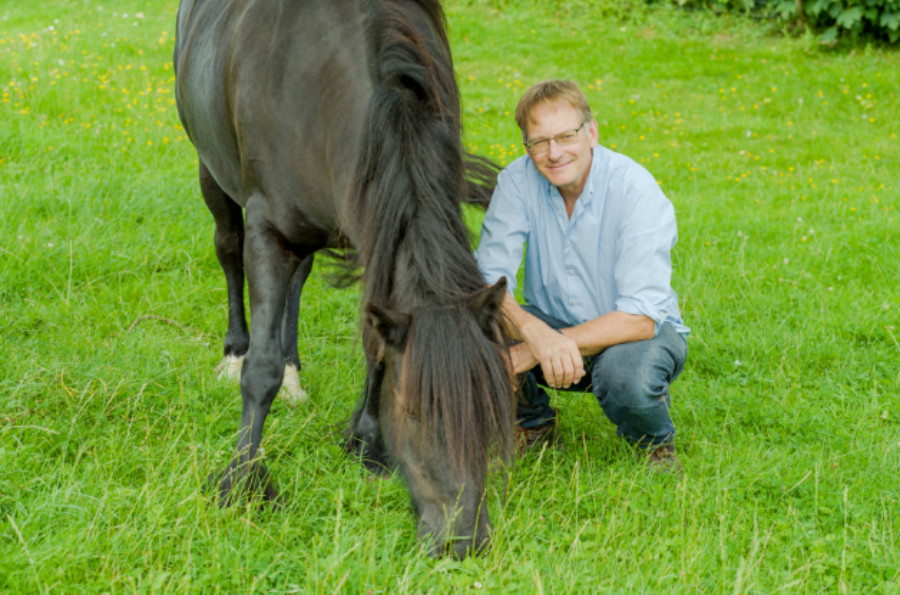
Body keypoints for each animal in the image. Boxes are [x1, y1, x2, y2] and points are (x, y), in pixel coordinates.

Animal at [174, 0, 512, 560]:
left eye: (487, 409)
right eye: (413, 411)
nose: (462, 540)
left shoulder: (373, 227)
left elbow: (375, 349)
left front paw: (368, 443)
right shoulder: (268, 231)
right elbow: (260, 371)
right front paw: (242, 481)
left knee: (299, 278)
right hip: (210, 169)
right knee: (227, 250)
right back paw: (234, 350)